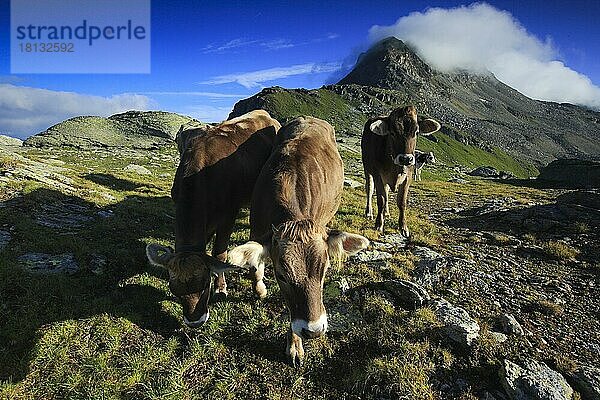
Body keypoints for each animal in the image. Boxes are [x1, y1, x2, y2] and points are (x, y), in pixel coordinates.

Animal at [145, 110, 282, 328]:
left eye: (205, 285)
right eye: (174, 290)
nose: (194, 322)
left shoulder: (228, 215)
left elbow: (219, 255)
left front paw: (221, 288)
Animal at [229, 115, 370, 366]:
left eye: (324, 270)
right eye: (281, 275)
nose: (313, 330)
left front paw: (295, 345)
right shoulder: (258, 232)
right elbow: (255, 267)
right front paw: (260, 290)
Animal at [360, 106, 440, 238]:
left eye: (416, 132)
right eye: (392, 133)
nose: (406, 159)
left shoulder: (408, 177)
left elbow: (401, 202)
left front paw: (403, 228)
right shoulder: (378, 175)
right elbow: (381, 199)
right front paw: (379, 224)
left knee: (386, 192)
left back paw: (386, 213)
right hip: (367, 168)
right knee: (370, 189)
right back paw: (369, 213)